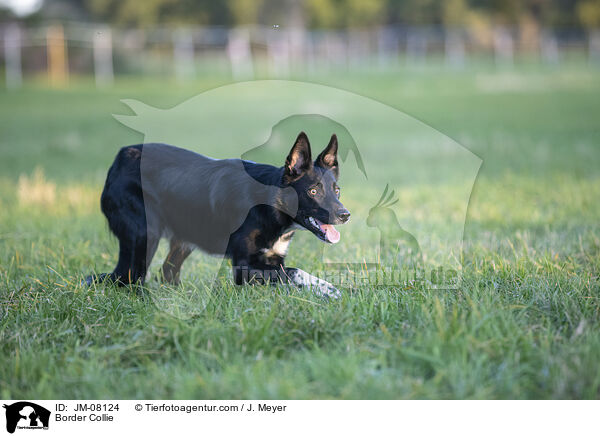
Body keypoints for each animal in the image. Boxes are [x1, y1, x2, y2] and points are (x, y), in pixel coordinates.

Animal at [82, 131, 350, 298]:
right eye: (313, 191)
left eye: (336, 190)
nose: (345, 215)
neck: (270, 202)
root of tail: (121, 155)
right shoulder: (243, 267)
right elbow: (297, 273)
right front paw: (331, 291)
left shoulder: (273, 260)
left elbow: (294, 273)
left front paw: (341, 292)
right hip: (144, 237)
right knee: (129, 279)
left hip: (184, 239)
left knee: (166, 273)